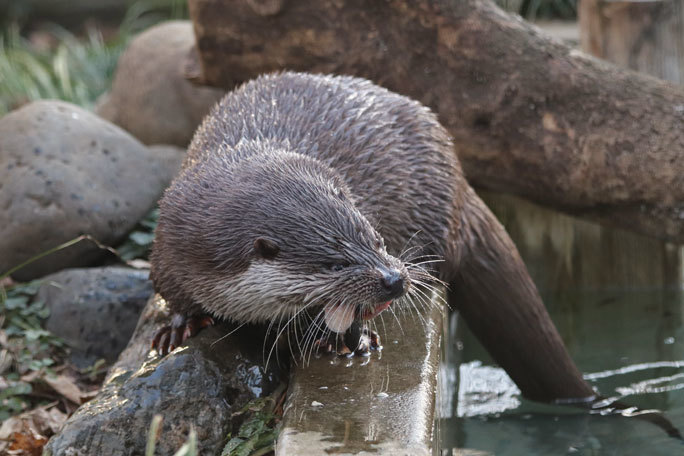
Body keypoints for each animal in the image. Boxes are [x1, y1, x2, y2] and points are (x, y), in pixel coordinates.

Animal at [150, 71, 592, 402]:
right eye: (335, 264)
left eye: (376, 239)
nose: (394, 279)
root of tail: (456, 173)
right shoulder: (170, 232)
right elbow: (168, 286)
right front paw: (177, 325)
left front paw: (349, 339)